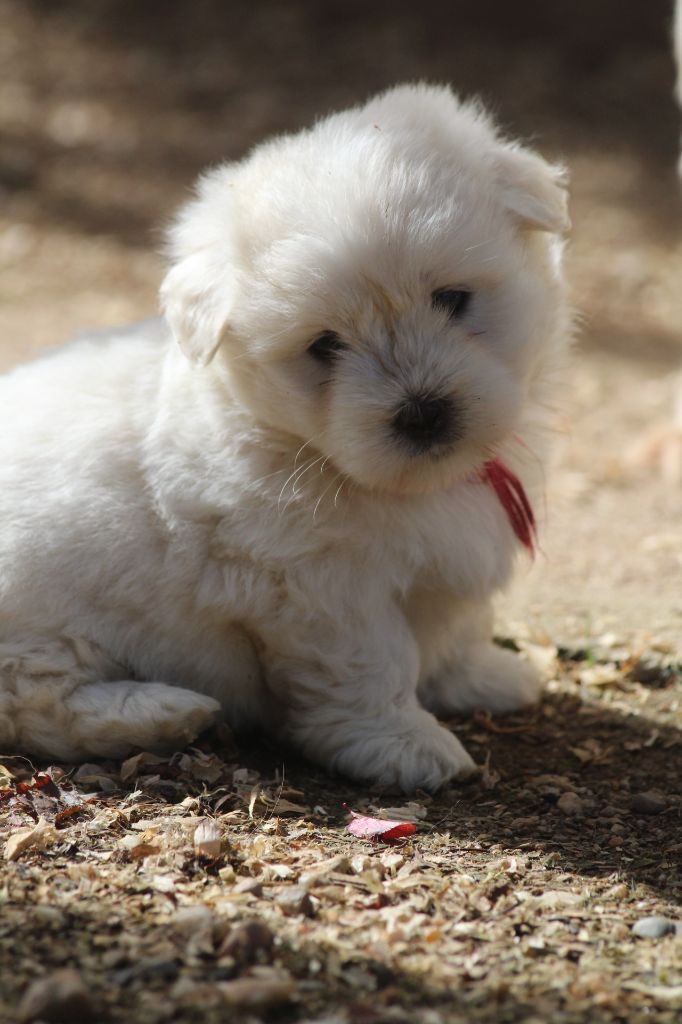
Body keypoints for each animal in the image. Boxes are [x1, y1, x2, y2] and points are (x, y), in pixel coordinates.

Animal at [0, 86, 565, 790]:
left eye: (452, 299)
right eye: (325, 346)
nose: (422, 412)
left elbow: (459, 626)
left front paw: (481, 677)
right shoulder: (317, 585)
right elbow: (371, 664)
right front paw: (404, 744)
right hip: (41, 626)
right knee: (31, 700)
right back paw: (163, 711)